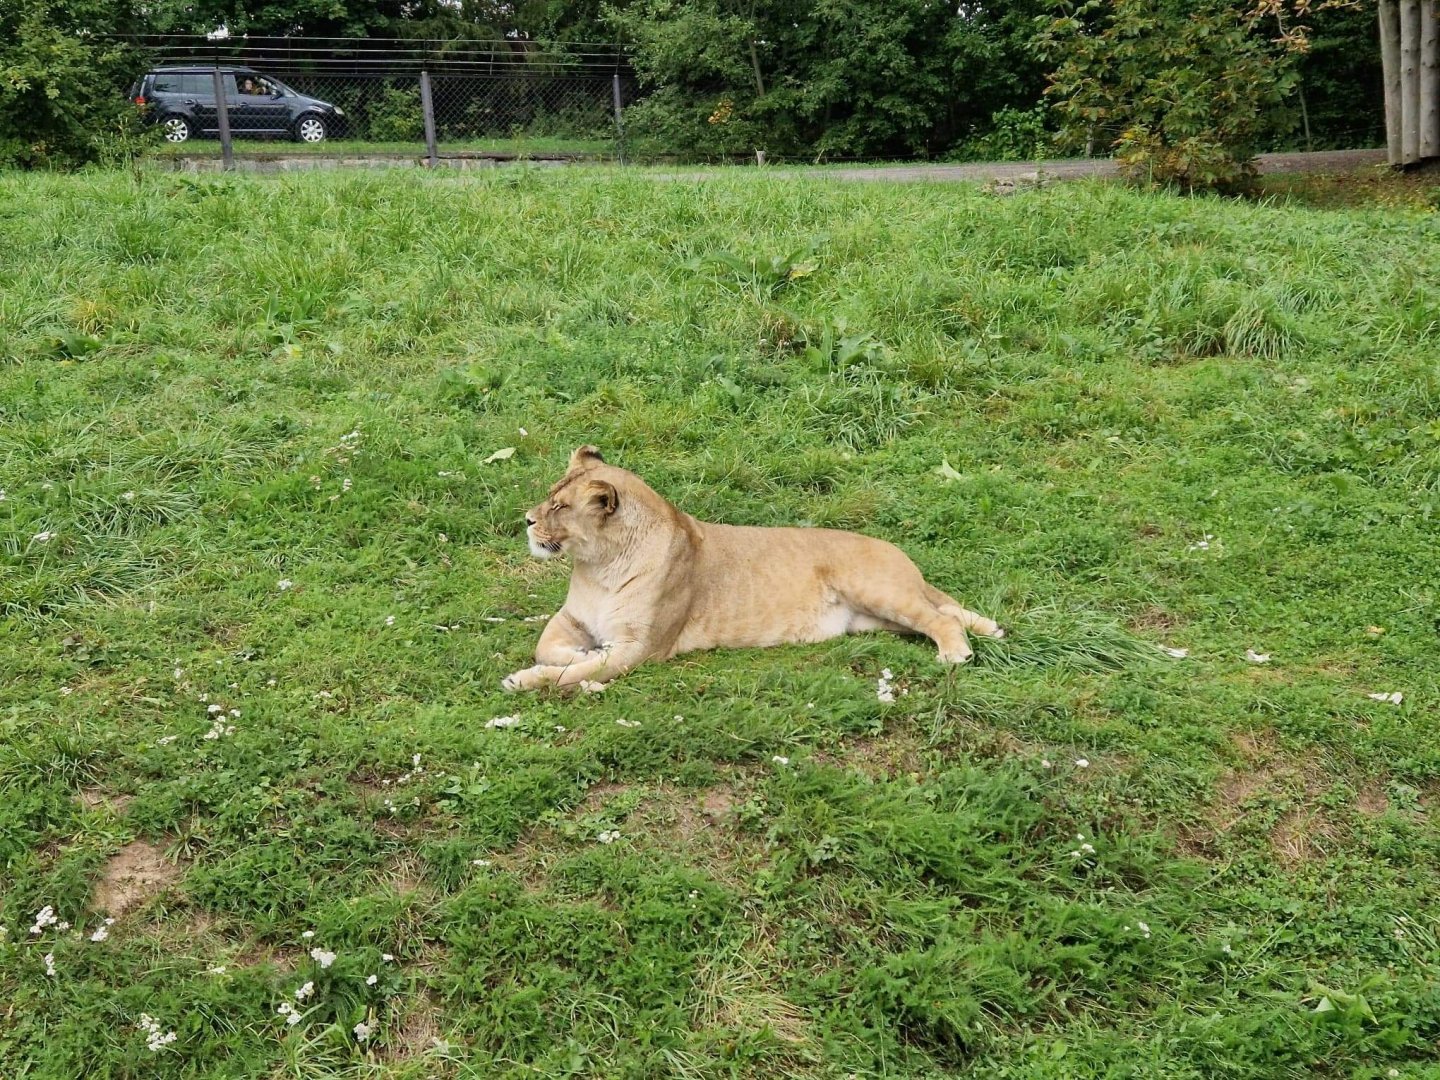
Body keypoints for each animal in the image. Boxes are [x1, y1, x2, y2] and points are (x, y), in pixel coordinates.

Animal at [501, 446, 1004, 692]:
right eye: (550, 496)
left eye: (560, 507)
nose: (526, 520)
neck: (599, 567)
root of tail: (899, 553)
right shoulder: (573, 618)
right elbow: (548, 646)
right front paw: (578, 653)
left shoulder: (642, 649)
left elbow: (568, 675)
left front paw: (523, 679)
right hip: (878, 619)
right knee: (945, 612)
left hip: (880, 591)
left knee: (941, 619)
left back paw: (955, 654)